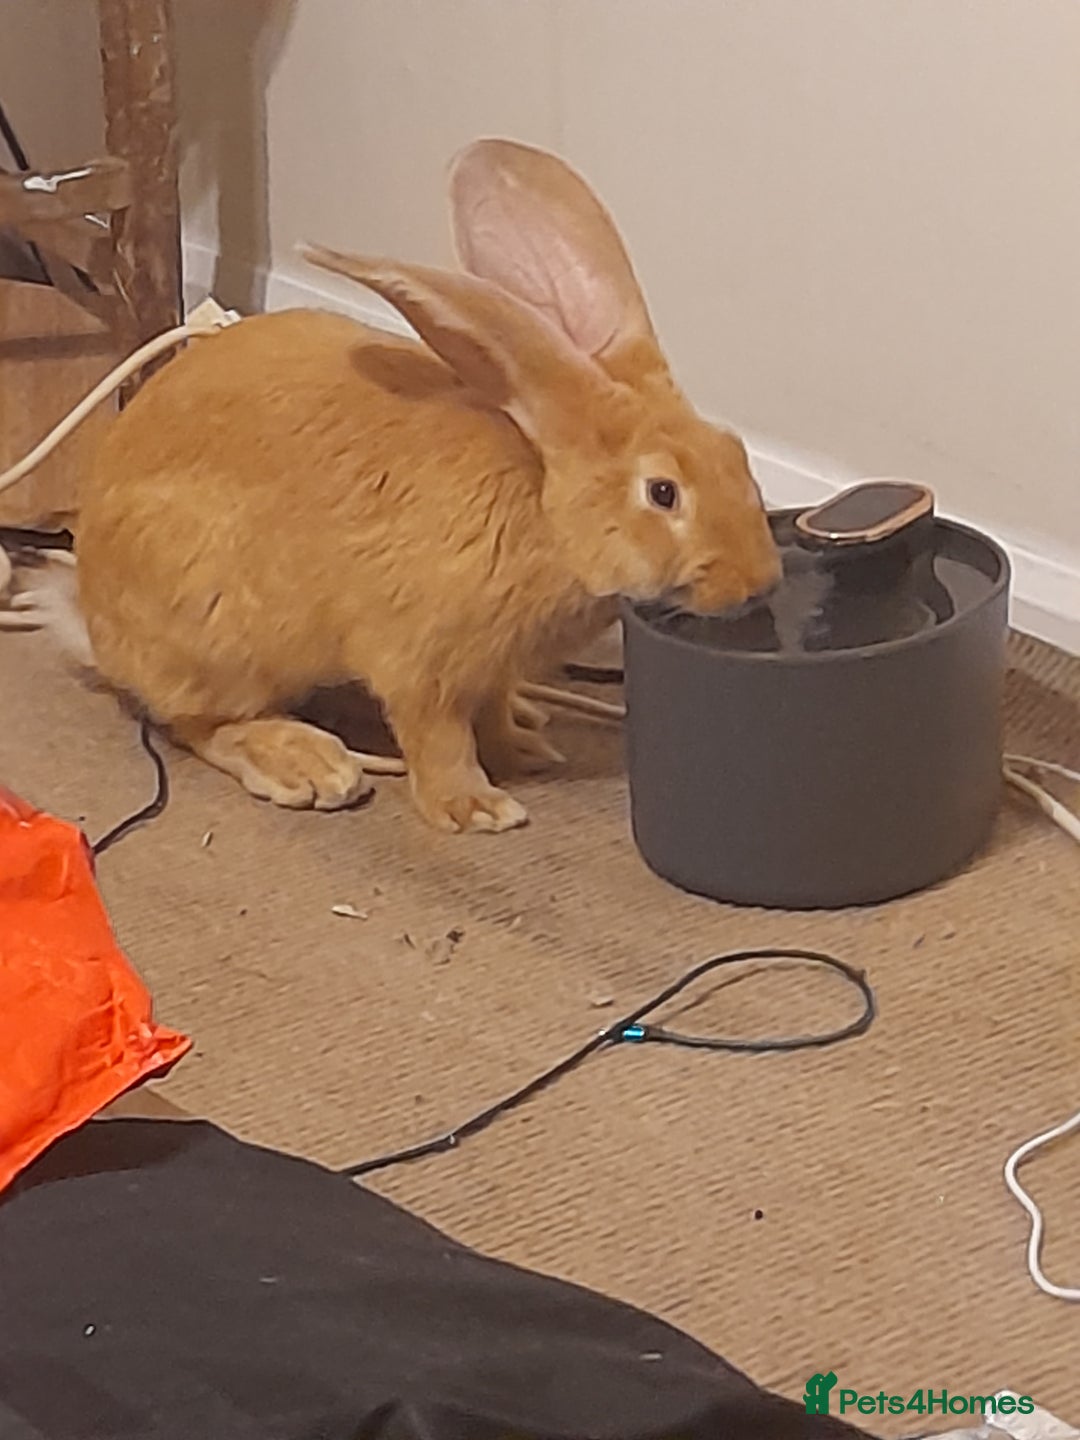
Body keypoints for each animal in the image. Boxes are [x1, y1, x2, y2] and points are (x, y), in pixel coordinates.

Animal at [72, 138, 781, 834]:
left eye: (734, 451)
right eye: (663, 493)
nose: (760, 582)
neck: (548, 511)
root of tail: (95, 624)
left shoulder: (490, 669)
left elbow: (489, 716)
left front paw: (524, 749)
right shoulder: (421, 662)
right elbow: (438, 737)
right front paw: (476, 807)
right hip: (213, 631)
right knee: (196, 724)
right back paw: (306, 764)